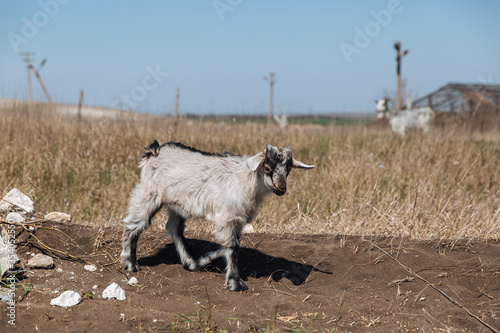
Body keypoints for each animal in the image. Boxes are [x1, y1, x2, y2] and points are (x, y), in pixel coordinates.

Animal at [120, 140, 312, 290]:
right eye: (267, 167)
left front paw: (205, 259)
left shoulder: (237, 220)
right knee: (134, 223)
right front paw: (235, 283)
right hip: (150, 193)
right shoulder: (227, 217)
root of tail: (154, 150)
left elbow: (230, 245)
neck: (247, 180)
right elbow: (232, 246)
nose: (281, 188)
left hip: (177, 203)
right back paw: (131, 263)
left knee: (174, 228)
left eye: (288, 168)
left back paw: (191, 261)